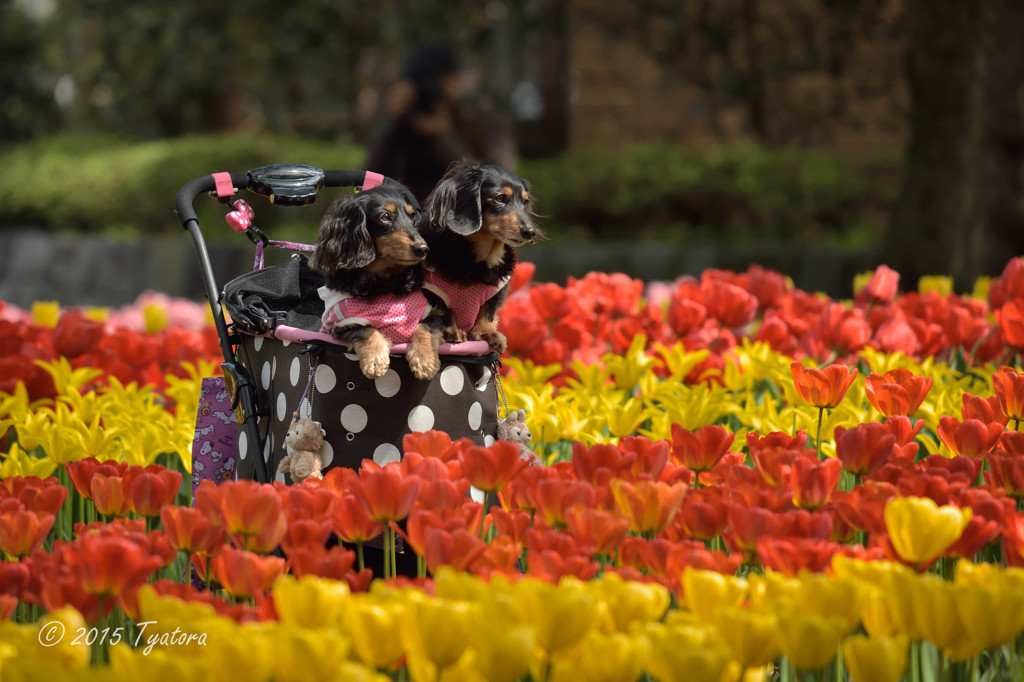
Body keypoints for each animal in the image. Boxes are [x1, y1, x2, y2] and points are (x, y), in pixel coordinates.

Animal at [307, 183, 444, 378]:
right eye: (385, 216)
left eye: (412, 217)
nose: (423, 249)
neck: (384, 285)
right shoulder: (341, 324)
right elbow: (366, 330)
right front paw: (375, 359)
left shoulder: (434, 312)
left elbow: (423, 327)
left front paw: (425, 360)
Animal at [417, 159, 544, 350]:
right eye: (500, 198)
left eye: (525, 201)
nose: (530, 232)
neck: (481, 261)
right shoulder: (432, 291)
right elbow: (444, 310)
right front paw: (452, 331)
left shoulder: (497, 290)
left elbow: (488, 311)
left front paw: (486, 332)